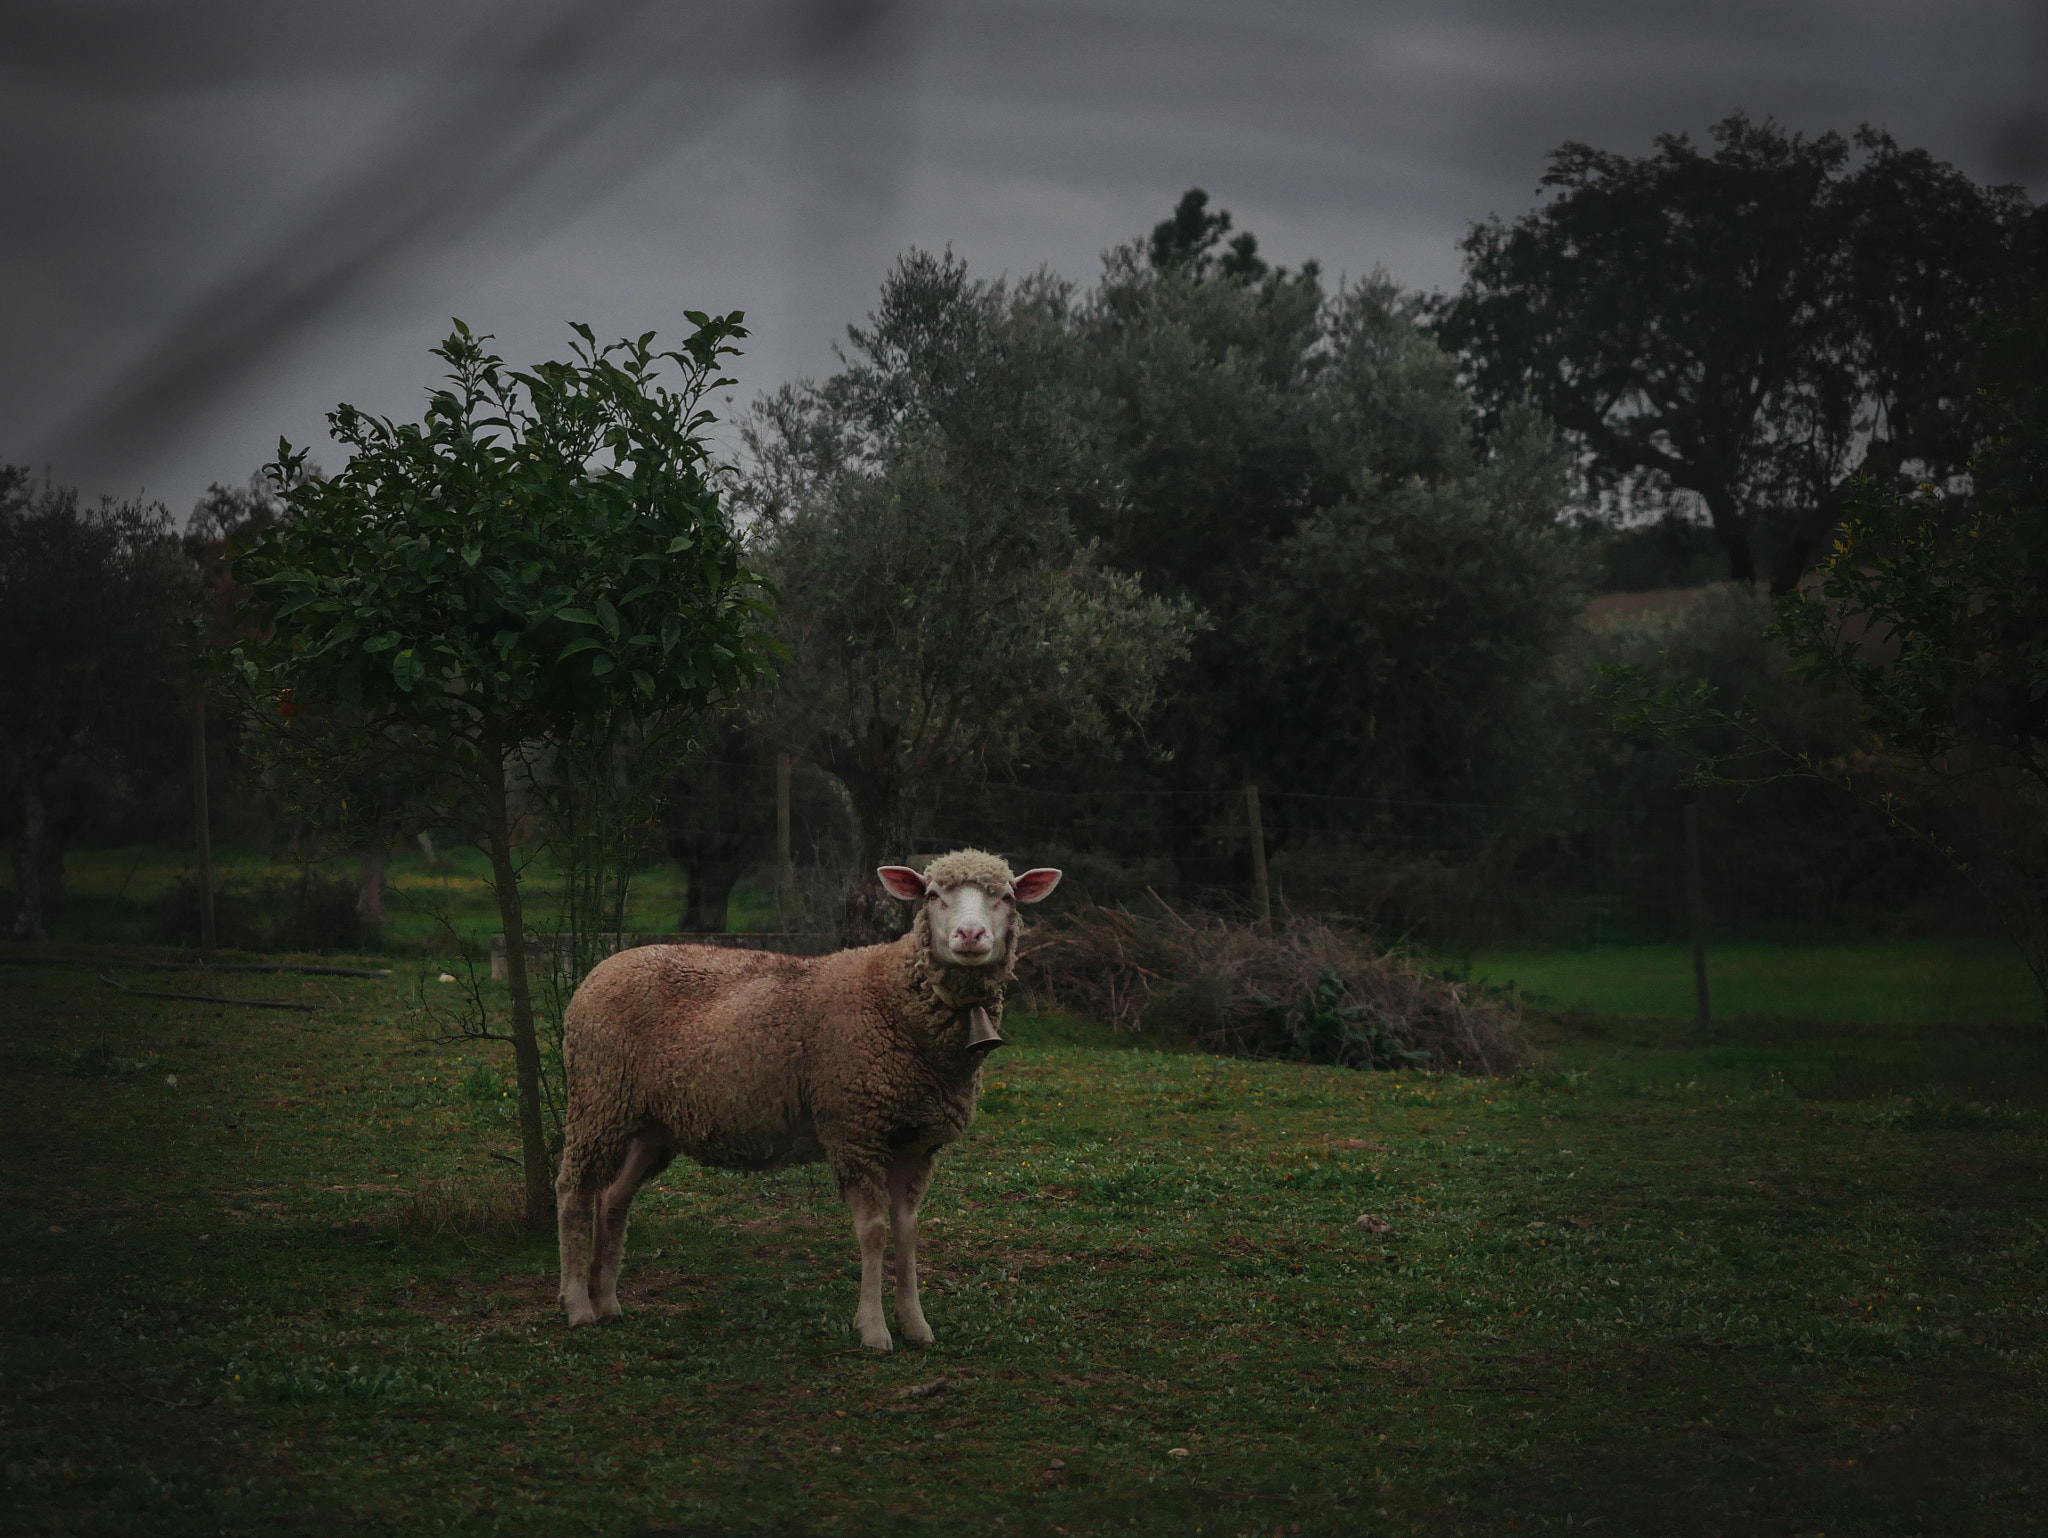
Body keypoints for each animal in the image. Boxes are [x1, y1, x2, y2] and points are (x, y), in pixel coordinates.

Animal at [552, 856, 1064, 1343]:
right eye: (933, 895)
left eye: (1007, 897)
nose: (970, 935)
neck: (897, 996)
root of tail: (604, 966)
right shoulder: (855, 1127)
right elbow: (873, 1232)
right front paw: (873, 1328)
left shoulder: (917, 1142)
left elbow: (908, 1232)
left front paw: (916, 1324)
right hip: (598, 1099)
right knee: (574, 1191)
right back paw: (578, 1305)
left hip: (652, 1124)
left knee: (613, 1199)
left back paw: (608, 1301)